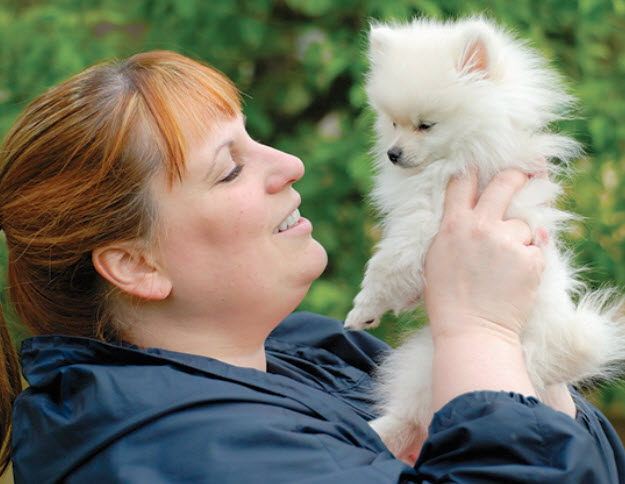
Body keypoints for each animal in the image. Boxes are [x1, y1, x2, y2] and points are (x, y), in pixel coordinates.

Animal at [344, 15, 624, 462]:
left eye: (426, 124)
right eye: (392, 121)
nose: (393, 153)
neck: (463, 152)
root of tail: (557, 356)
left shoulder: (425, 220)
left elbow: (387, 264)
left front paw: (364, 310)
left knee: (421, 417)